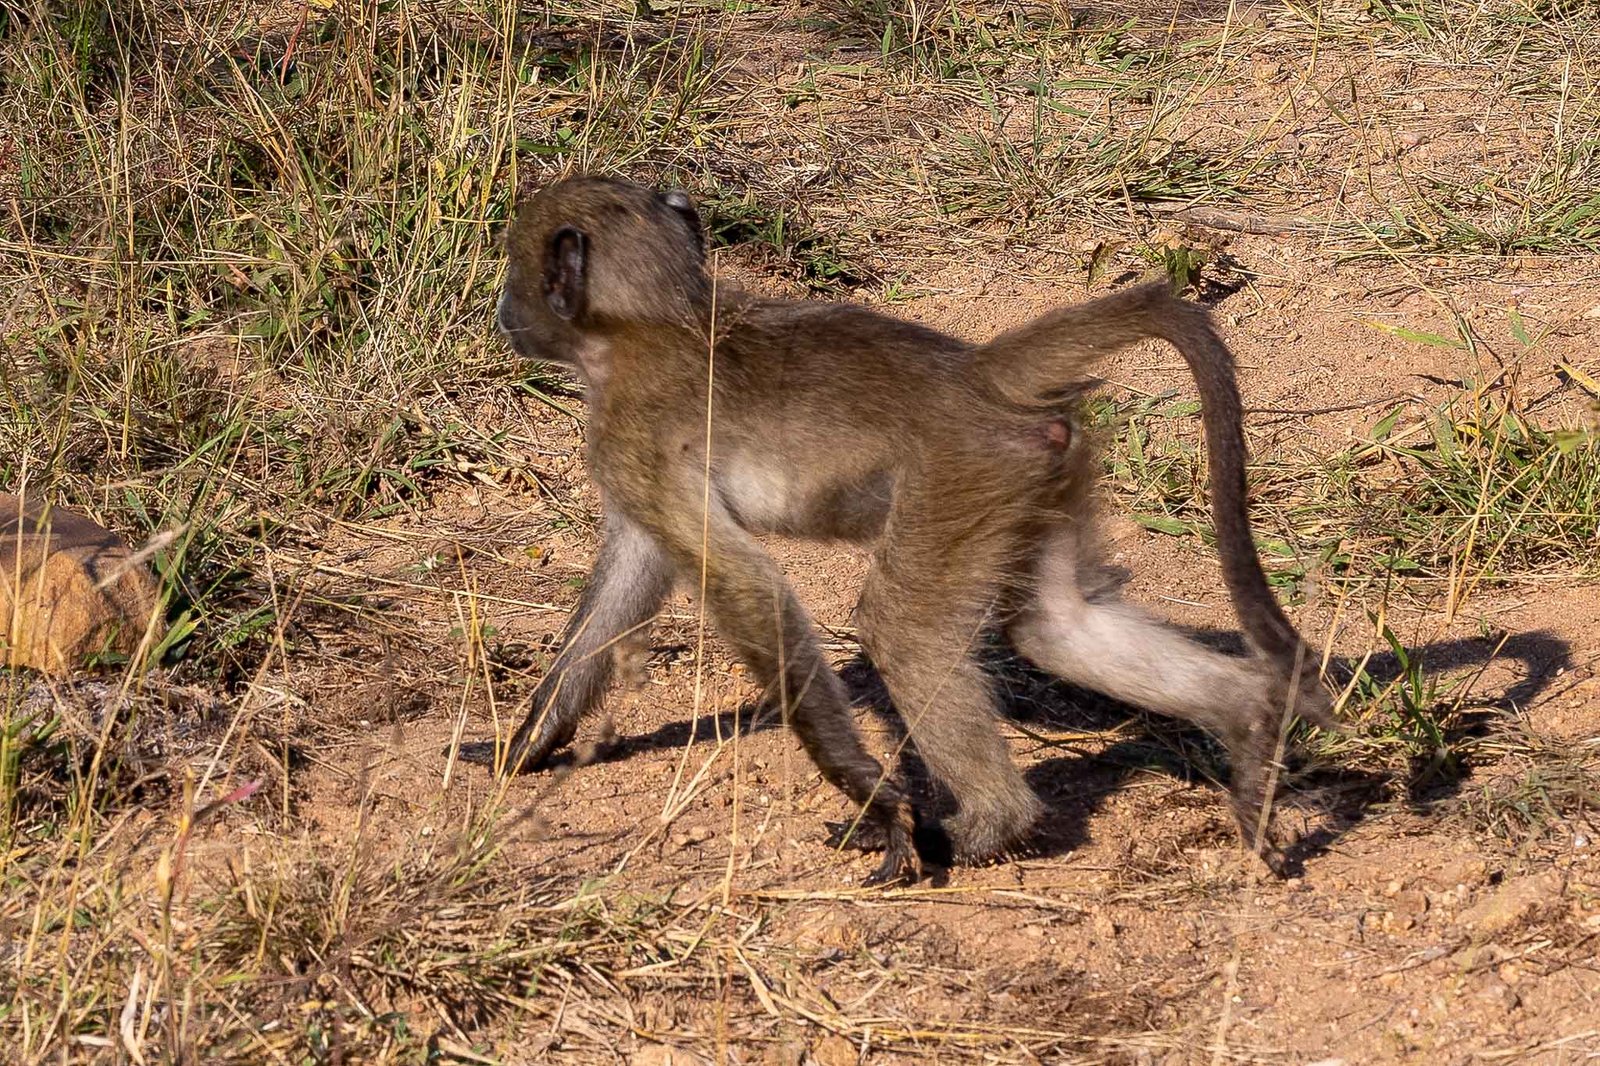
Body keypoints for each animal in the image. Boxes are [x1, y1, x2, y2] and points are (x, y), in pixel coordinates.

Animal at [478, 175, 1332, 885]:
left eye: (515, 274)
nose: (503, 315)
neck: (650, 324)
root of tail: (972, 373)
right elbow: (629, 584)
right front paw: (524, 745)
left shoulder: (627, 439)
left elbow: (750, 590)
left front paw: (881, 805)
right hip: (1035, 470)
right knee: (1055, 627)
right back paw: (1248, 724)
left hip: (961, 471)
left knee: (903, 628)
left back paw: (982, 829)